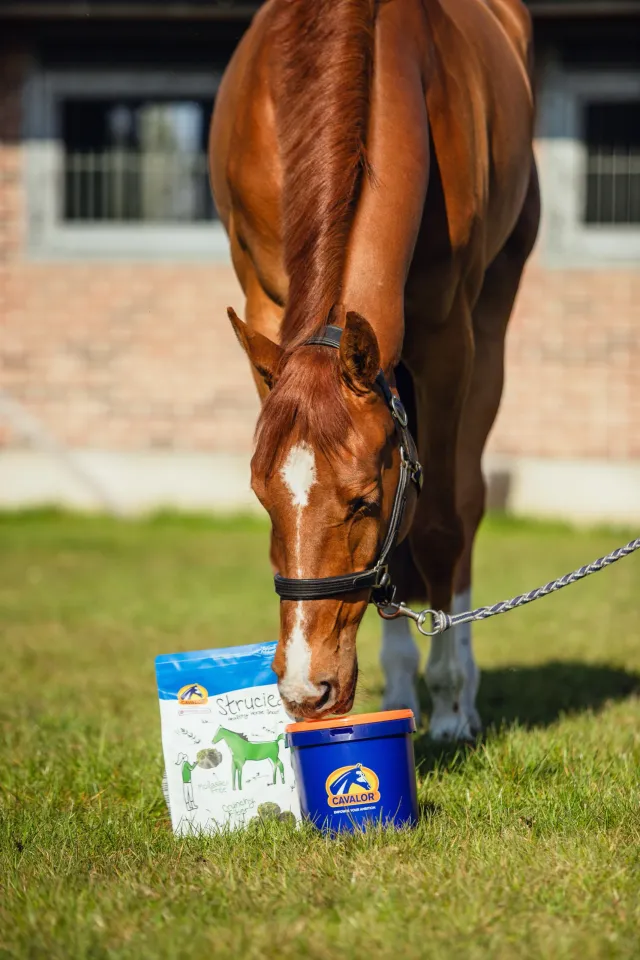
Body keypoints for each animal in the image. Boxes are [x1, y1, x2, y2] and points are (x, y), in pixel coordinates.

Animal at [209, 0, 540, 739]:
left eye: (362, 501)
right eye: (262, 497)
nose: (306, 690)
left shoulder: (448, 339)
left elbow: (441, 521)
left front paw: (449, 707)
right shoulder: (266, 304)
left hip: (491, 326)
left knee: (464, 502)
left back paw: (454, 694)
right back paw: (404, 684)